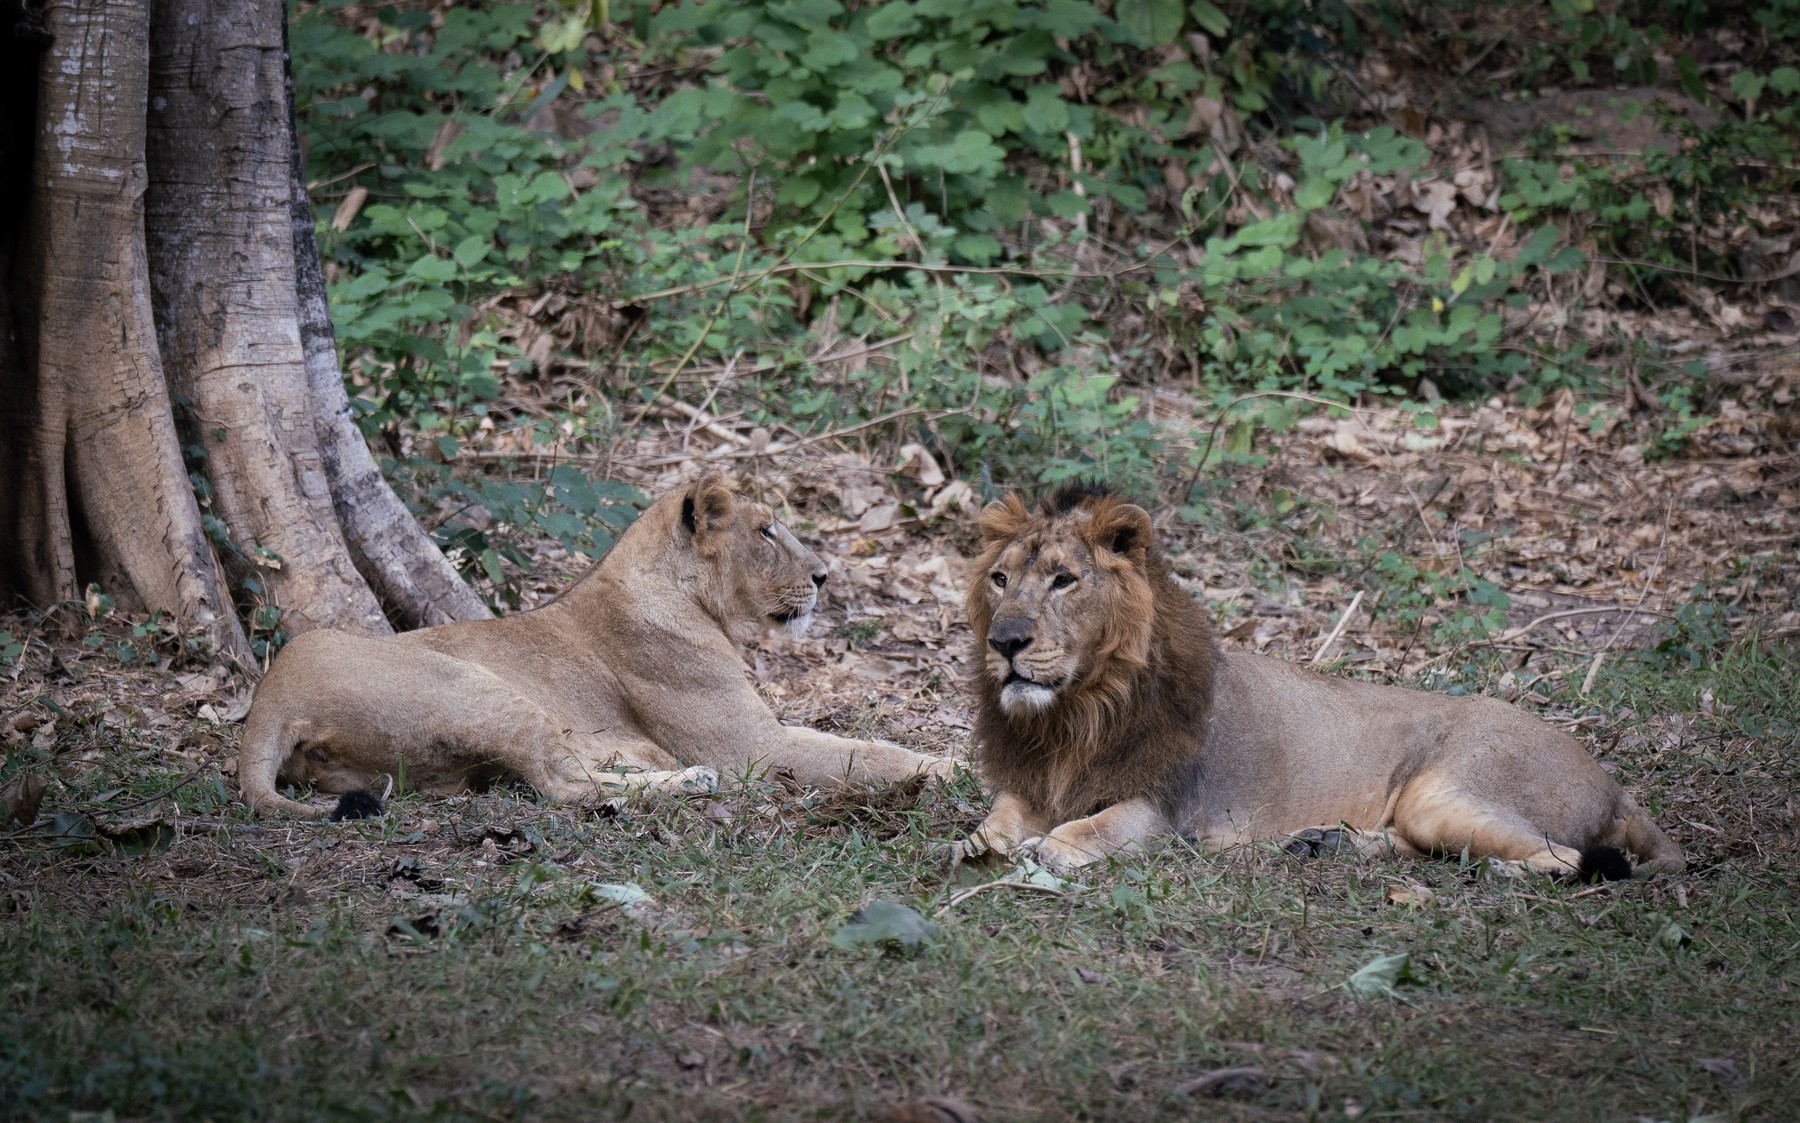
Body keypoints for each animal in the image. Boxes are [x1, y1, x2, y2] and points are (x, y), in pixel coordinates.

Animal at [246, 475, 964, 817]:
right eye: (766, 531)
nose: (822, 576)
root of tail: (272, 697)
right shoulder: (751, 747)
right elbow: (864, 752)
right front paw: (949, 767)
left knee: (562, 772)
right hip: (479, 688)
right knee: (558, 788)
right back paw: (688, 781)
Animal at [957, 478, 1684, 878]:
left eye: (1063, 579)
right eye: (1000, 579)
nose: (1005, 641)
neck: (1076, 710)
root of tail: (1616, 786)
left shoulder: (1168, 810)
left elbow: (1097, 828)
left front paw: (1052, 849)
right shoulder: (1037, 783)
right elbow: (1001, 813)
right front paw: (979, 844)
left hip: (1445, 792)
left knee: (1560, 859)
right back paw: (1326, 843)